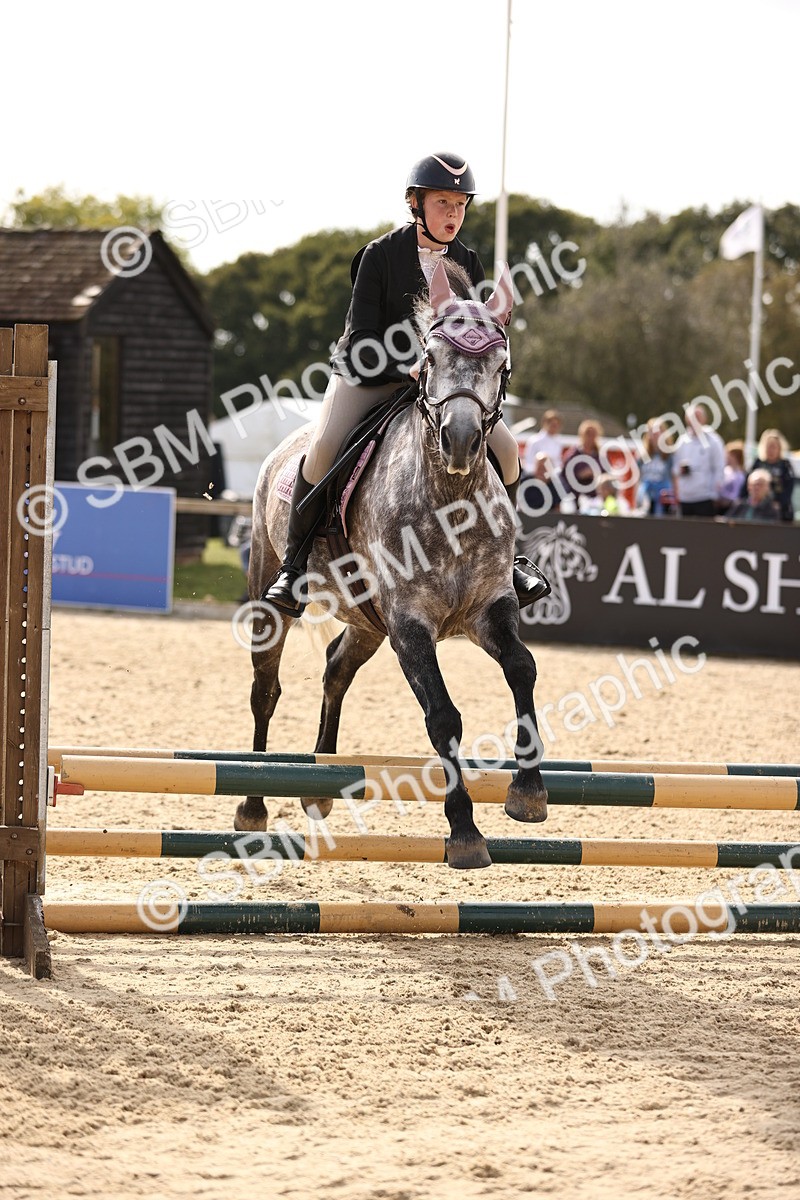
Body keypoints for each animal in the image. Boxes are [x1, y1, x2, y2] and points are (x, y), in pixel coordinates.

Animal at [237, 258, 548, 869]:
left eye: (501, 365)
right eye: (430, 356)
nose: (460, 441)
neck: (451, 499)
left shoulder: (488, 608)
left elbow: (522, 668)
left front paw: (528, 793)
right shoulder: (410, 625)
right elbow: (444, 716)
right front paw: (464, 832)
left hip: (367, 623)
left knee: (336, 667)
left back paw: (319, 791)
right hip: (273, 594)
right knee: (266, 689)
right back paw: (254, 807)